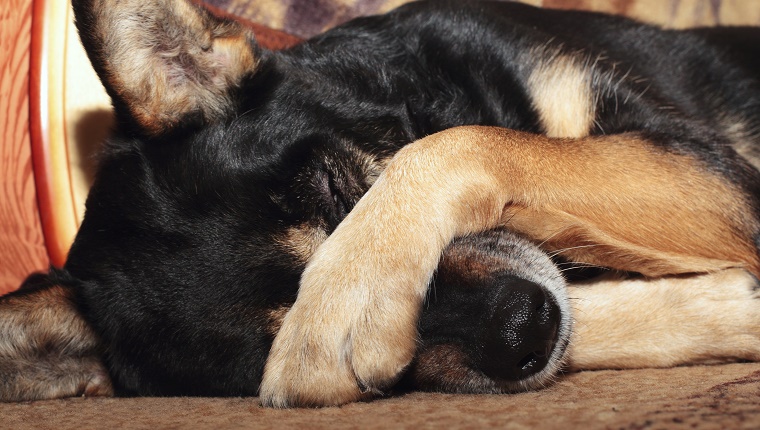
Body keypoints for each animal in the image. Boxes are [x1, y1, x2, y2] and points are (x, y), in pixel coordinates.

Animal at [1, 0, 760, 406]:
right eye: (266, 348)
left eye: (337, 188)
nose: (526, 330)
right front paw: (715, 312)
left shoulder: (714, 165)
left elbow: (459, 143)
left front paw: (348, 295)